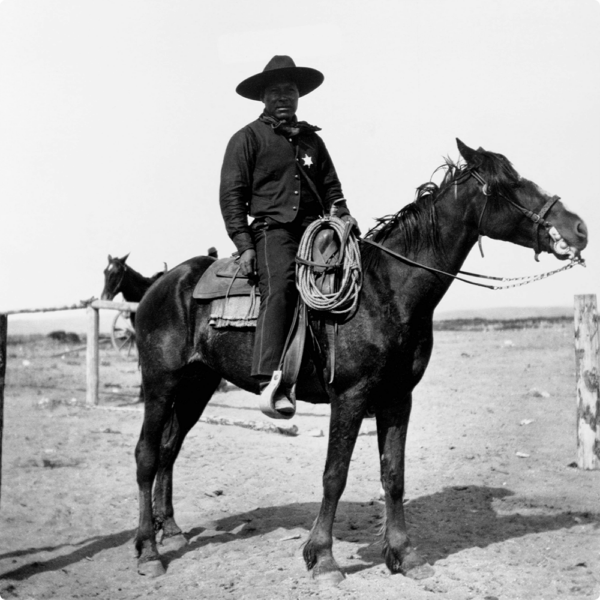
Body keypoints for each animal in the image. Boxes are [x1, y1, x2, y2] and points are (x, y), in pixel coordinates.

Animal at [131, 139, 584, 580]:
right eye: (509, 184)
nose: (578, 227)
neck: (387, 291)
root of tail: (164, 283)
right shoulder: (349, 397)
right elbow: (335, 475)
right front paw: (322, 558)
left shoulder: (398, 397)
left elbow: (393, 475)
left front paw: (403, 554)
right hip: (160, 384)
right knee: (147, 455)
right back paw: (148, 551)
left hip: (197, 385)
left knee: (170, 448)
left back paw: (171, 531)